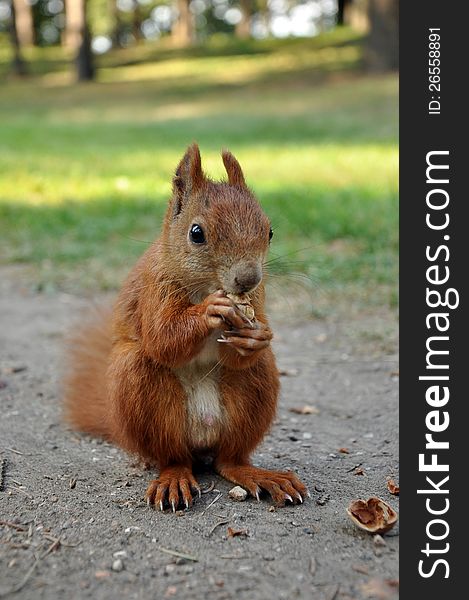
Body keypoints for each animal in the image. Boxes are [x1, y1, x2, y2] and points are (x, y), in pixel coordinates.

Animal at [66, 143, 308, 508]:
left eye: (269, 231)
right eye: (197, 234)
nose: (247, 279)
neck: (207, 286)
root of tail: (202, 438)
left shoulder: (257, 298)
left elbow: (245, 342)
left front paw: (258, 335)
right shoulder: (155, 287)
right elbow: (162, 338)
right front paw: (211, 309)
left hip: (253, 392)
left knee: (228, 459)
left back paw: (257, 474)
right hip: (142, 393)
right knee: (173, 456)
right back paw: (174, 478)